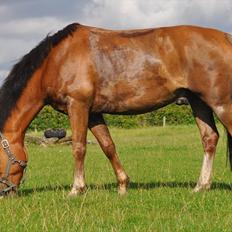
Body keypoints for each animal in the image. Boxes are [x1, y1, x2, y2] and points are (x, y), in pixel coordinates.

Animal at [0, 22, 232, 196]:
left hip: (220, 104)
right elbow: (108, 146)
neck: (57, 60)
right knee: (209, 138)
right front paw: (122, 185)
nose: (4, 194)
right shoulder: (93, 113)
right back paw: (201, 186)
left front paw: (76, 189)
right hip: (198, 102)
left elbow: (78, 147)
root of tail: (225, 38)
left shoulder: (78, 106)